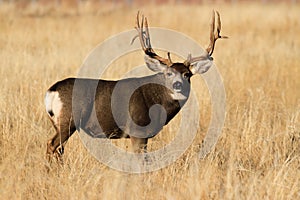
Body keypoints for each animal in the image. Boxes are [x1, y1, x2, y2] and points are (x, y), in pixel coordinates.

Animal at [44, 10, 226, 162]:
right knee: (51, 145)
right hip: (68, 120)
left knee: (58, 149)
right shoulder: (137, 131)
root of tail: (51, 91)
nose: (178, 84)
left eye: (187, 74)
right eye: (168, 73)